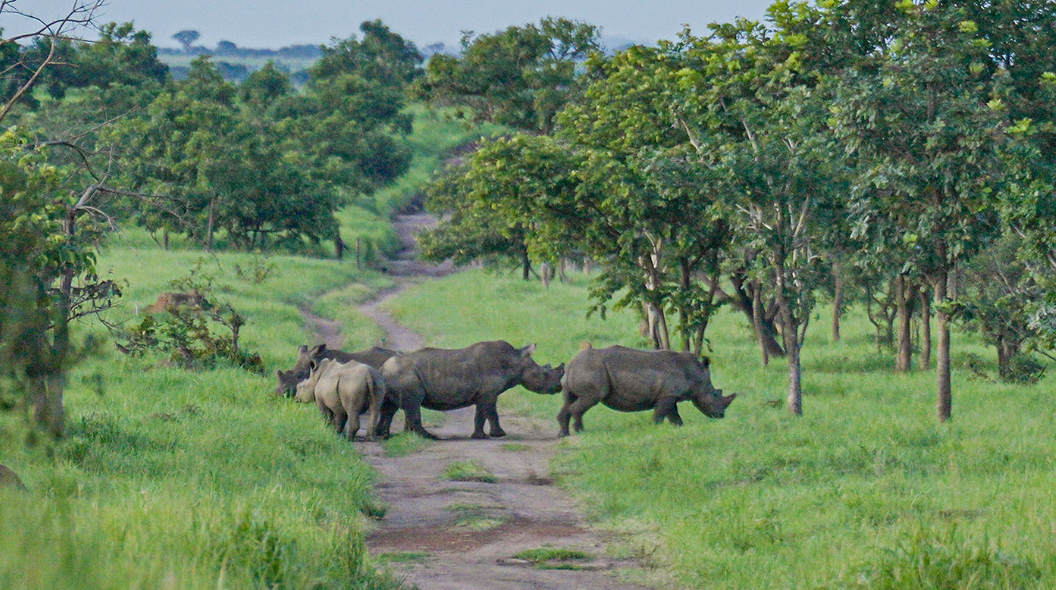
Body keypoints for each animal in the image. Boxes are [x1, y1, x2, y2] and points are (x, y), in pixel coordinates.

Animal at [378, 339, 566, 441]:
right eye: (545, 373)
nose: (559, 388)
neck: (515, 360)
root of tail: (382, 368)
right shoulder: (486, 393)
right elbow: (483, 413)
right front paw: (481, 436)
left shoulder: (490, 393)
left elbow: (492, 413)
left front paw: (499, 434)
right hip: (404, 374)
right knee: (413, 404)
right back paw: (429, 437)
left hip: (394, 376)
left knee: (390, 408)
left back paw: (384, 436)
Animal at [561, 344, 734, 436]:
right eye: (714, 394)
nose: (721, 415)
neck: (695, 375)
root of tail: (571, 363)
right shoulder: (668, 395)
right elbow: (661, 414)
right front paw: (655, 428)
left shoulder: (669, 395)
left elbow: (674, 415)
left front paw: (679, 428)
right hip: (591, 369)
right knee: (591, 398)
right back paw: (580, 431)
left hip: (580, 370)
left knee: (568, 401)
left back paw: (564, 434)